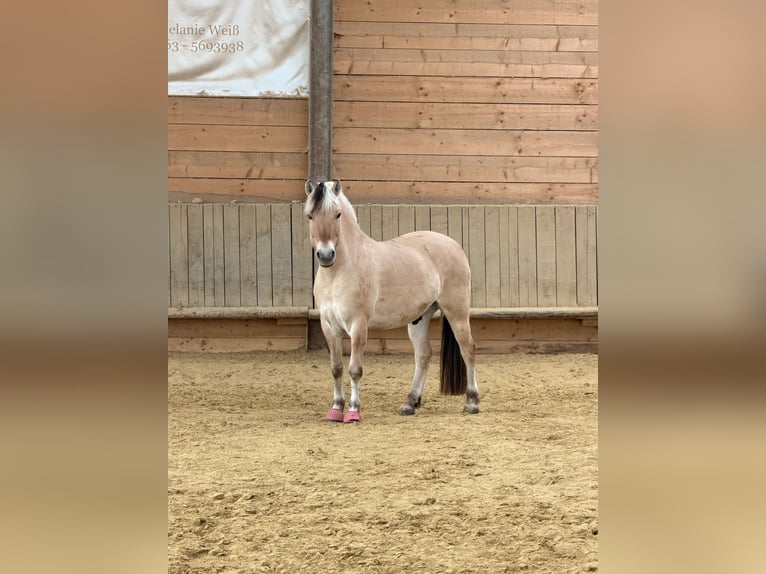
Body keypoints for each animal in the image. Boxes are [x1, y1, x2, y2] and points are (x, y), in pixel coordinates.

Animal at [304, 179, 480, 422]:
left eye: (337, 214)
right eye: (310, 215)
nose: (326, 255)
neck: (338, 273)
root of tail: (452, 244)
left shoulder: (358, 325)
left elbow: (354, 369)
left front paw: (353, 411)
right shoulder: (328, 326)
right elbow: (336, 368)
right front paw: (336, 408)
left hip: (457, 311)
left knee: (468, 349)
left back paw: (472, 401)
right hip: (420, 317)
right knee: (423, 355)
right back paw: (410, 403)